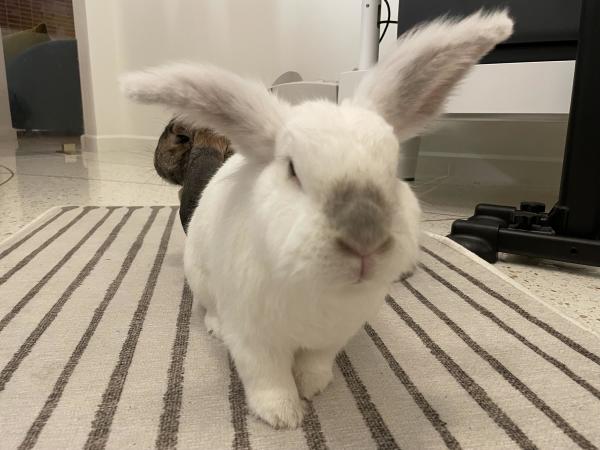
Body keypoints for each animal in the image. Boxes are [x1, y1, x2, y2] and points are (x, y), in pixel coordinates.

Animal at [120, 8, 510, 428]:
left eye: (393, 170)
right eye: (292, 169)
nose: (366, 239)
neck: (321, 288)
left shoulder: (331, 338)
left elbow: (315, 363)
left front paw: (313, 388)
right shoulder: (255, 340)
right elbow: (268, 378)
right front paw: (282, 416)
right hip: (202, 278)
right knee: (208, 307)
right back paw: (214, 327)